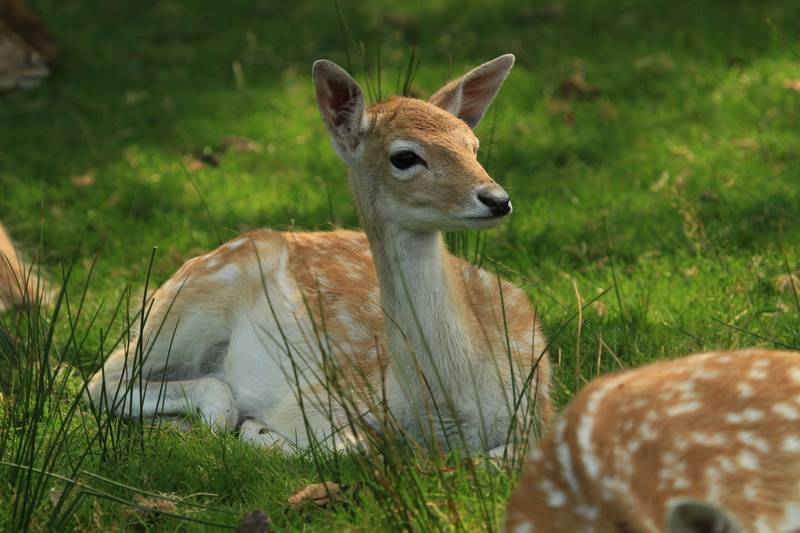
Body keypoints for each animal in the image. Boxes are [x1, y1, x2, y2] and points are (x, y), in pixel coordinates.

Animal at [86, 55, 552, 458]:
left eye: (473, 145)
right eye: (404, 156)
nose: (497, 199)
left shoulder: (538, 409)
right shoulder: (318, 398)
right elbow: (353, 446)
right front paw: (258, 430)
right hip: (186, 305)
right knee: (104, 379)